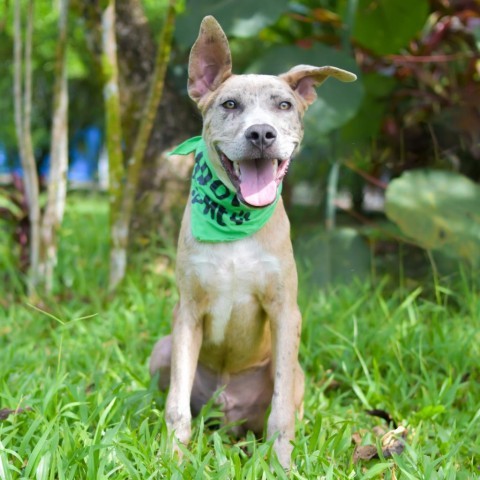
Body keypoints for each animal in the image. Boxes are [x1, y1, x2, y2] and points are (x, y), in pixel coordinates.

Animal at [150, 15, 356, 468]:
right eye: (229, 105)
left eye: (284, 106)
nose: (261, 134)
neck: (235, 223)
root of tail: (227, 414)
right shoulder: (187, 314)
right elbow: (176, 405)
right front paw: (172, 459)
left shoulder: (284, 312)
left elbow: (281, 410)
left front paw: (282, 464)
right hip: (163, 347)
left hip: (296, 374)